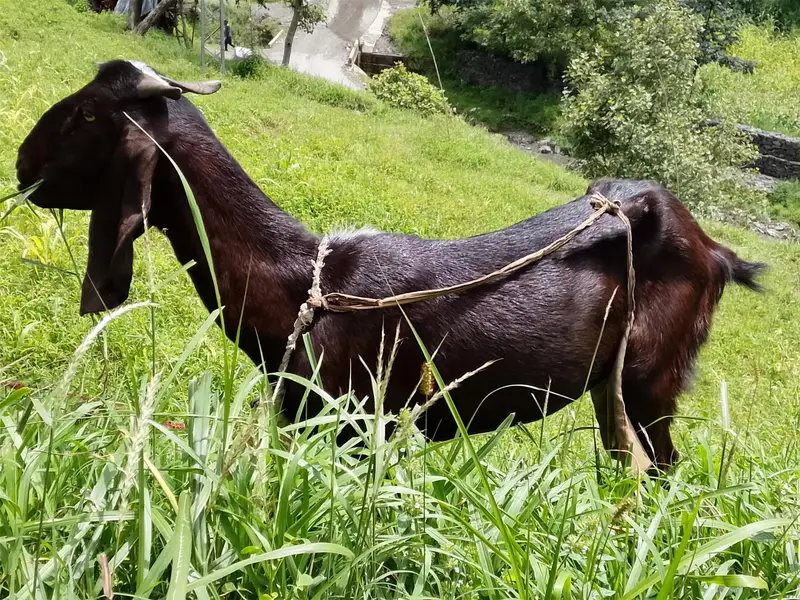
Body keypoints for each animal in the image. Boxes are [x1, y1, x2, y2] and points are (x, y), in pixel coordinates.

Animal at [15, 60, 765, 469]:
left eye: (87, 114)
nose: (21, 165)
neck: (302, 284)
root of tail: (716, 251)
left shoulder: (351, 422)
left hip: (652, 377)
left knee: (663, 466)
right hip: (614, 388)